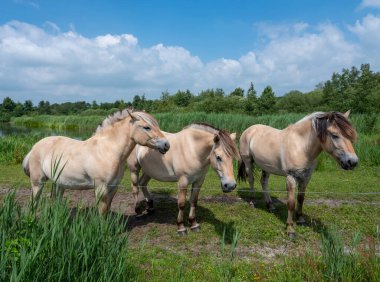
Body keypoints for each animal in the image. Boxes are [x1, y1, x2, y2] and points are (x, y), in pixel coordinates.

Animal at [21, 109, 168, 215]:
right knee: (34, 201)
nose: (166, 144)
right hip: (38, 182)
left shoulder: (113, 188)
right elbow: (102, 213)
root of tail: (34, 147)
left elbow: (107, 210)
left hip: (59, 183)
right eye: (146, 127)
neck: (106, 151)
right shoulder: (101, 188)